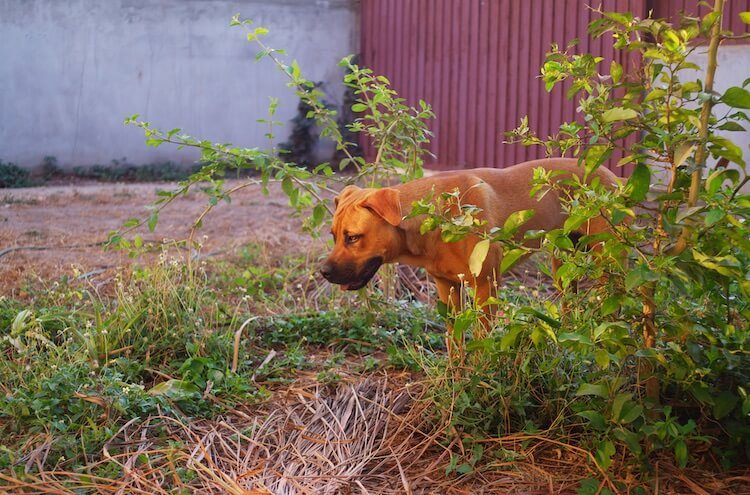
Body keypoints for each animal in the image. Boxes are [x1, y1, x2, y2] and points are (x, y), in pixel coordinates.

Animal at [320, 159, 620, 314]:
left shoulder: (486, 287)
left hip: (609, 263)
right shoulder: (448, 288)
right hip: (564, 265)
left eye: (353, 237)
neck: (435, 221)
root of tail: (610, 175)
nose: (323, 272)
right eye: (333, 235)